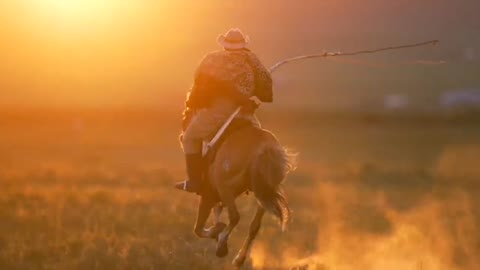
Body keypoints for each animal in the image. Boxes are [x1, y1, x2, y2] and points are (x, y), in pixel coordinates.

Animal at [181, 108, 296, 268]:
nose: (182, 133)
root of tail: (263, 148)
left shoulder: (208, 195)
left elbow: (198, 229)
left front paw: (218, 234)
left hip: (226, 190)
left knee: (235, 217)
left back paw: (223, 244)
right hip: (262, 194)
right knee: (254, 226)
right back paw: (239, 259)